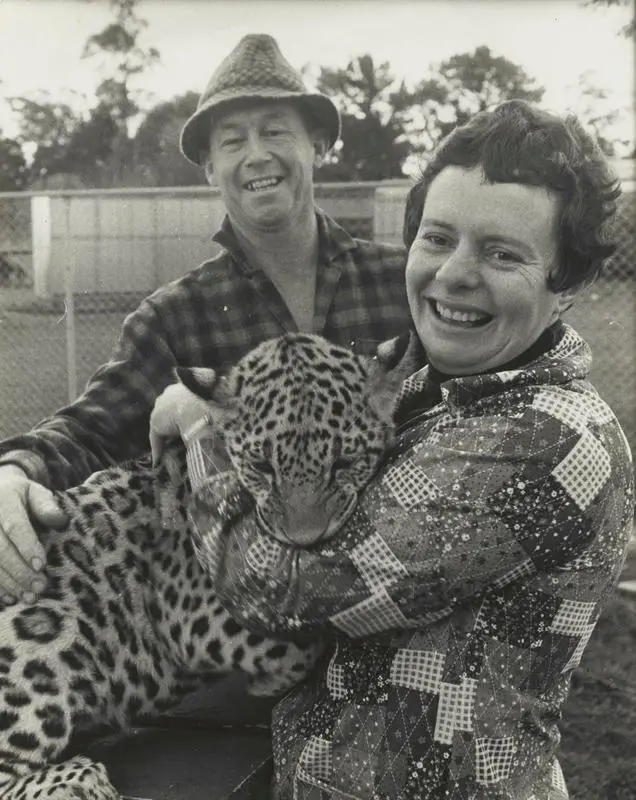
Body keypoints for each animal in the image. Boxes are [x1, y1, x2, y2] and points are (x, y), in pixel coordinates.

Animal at [0, 330, 418, 792]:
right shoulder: (192, 614)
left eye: (344, 462)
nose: (305, 539)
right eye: (261, 466)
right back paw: (79, 779)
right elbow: (298, 642)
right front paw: (269, 681)